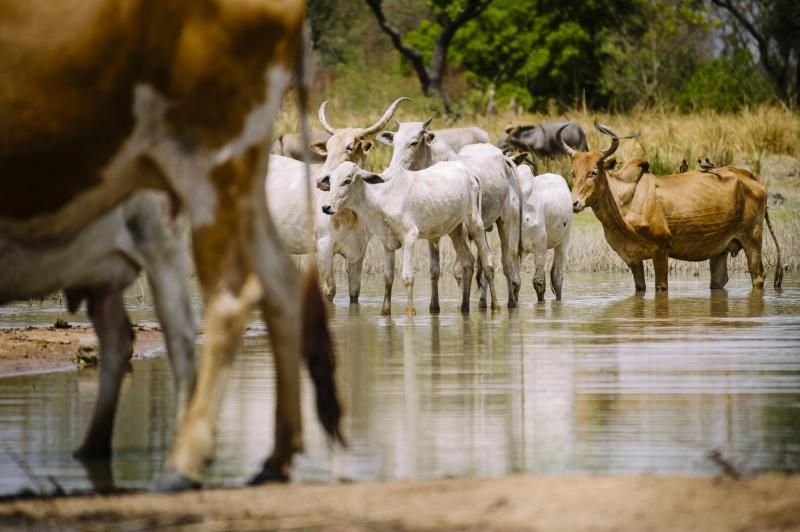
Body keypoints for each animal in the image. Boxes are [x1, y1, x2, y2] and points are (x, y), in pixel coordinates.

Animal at [320, 160, 500, 314]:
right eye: (331, 181)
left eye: (347, 180)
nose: (326, 207)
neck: (381, 200)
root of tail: (470, 173)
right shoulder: (387, 243)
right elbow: (388, 278)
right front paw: (385, 311)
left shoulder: (410, 237)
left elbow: (407, 277)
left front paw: (410, 311)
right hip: (454, 229)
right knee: (468, 262)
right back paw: (464, 308)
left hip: (475, 223)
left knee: (488, 263)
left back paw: (496, 306)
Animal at [376, 120, 520, 308]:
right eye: (394, 142)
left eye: (413, 143)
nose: (393, 168)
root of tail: (505, 158)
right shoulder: (432, 233)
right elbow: (435, 270)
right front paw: (434, 307)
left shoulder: (463, 230)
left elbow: (460, 269)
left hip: (505, 221)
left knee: (506, 261)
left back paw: (510, 301)